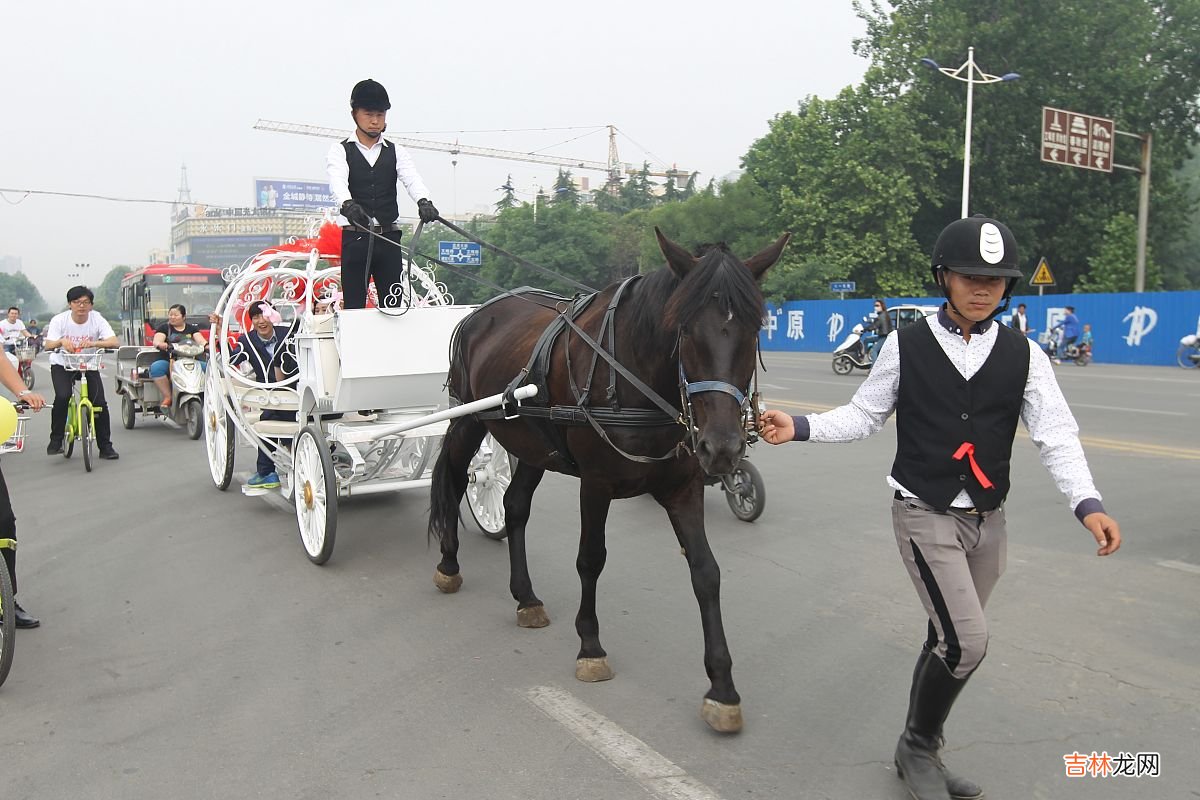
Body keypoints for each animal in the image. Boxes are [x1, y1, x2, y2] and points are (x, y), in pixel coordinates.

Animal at [429, 227, 787, 734]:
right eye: (684, 331)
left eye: (754, 330)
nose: (722, 448)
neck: (638, 378)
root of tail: (481, 311)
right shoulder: (595, 484)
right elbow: (590, 560)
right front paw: (590, 646)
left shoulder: (683, 488)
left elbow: (706, 571)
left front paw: (721, 686)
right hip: (468, 419)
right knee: (456, 480)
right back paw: (448, 565)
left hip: (533, 443)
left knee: (515, 506)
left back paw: (526, 597)